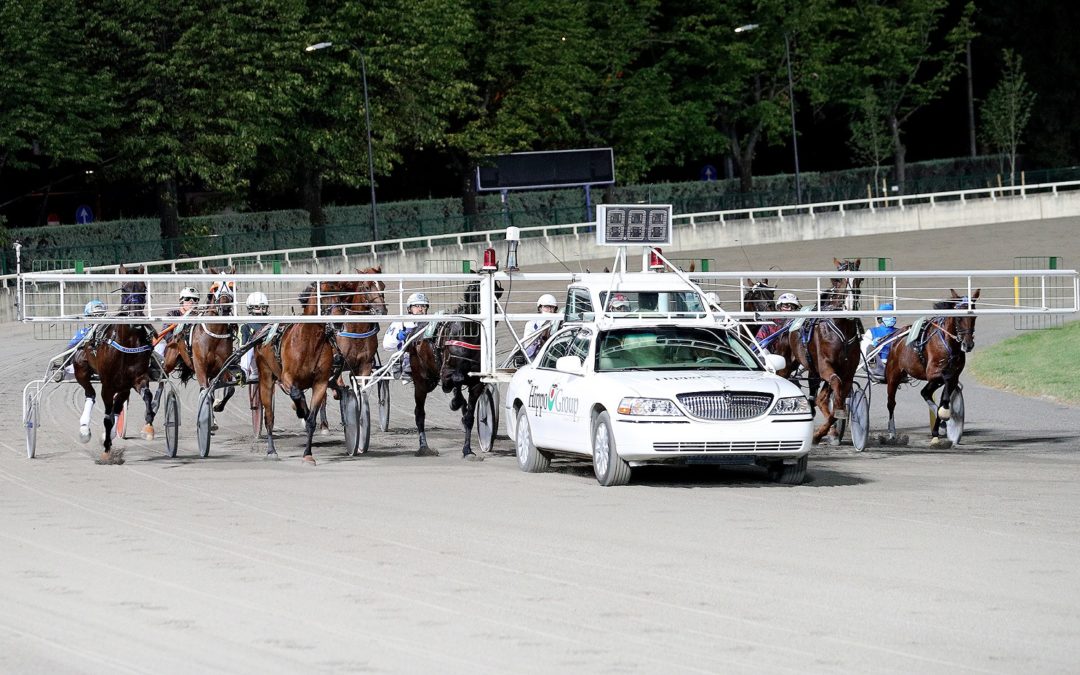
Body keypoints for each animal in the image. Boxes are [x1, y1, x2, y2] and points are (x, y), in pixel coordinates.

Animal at [72, 265, 157, 460]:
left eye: (143, 288)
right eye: (124, 289)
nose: (135, 317)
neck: (127, 344)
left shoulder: (136, 380)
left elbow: (147, 396)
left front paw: (148, 426)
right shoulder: (108, 384)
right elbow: (107, 417)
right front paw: (106, 449)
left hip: (123, 386)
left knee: (117, 406)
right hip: (81, 370)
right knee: (90, 394)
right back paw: (84, 430)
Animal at [252, 276, 336, 460]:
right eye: (323, 295)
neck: (309, 342)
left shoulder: (321, 382)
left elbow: (311, 419)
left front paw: (308, 453)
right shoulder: (287, 378)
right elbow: (296, 394)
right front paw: (301, 410)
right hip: (265, 377)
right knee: (269, 417)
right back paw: (271, 450)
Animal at [786, 278, 859, 442]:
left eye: (860, 279)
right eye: (842, 281)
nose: (851, 305)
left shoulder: (847, 374)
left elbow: (836, 404)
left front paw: (821, 433)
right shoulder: (825, 366)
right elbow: (836, 383)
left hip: (814, 370)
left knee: (820, 398)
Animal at [885, 289, 980, 447]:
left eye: (974, 317)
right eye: (959, 317)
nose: (968, 345)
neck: (949, 345)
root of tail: (896, 338)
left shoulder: (953, 376)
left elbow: (945, 397)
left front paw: (940, 426)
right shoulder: (933, 373)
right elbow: (946, 380)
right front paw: (945, 416)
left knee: (925, 393)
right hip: (893, 375)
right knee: (891, 403)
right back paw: (892, 433)